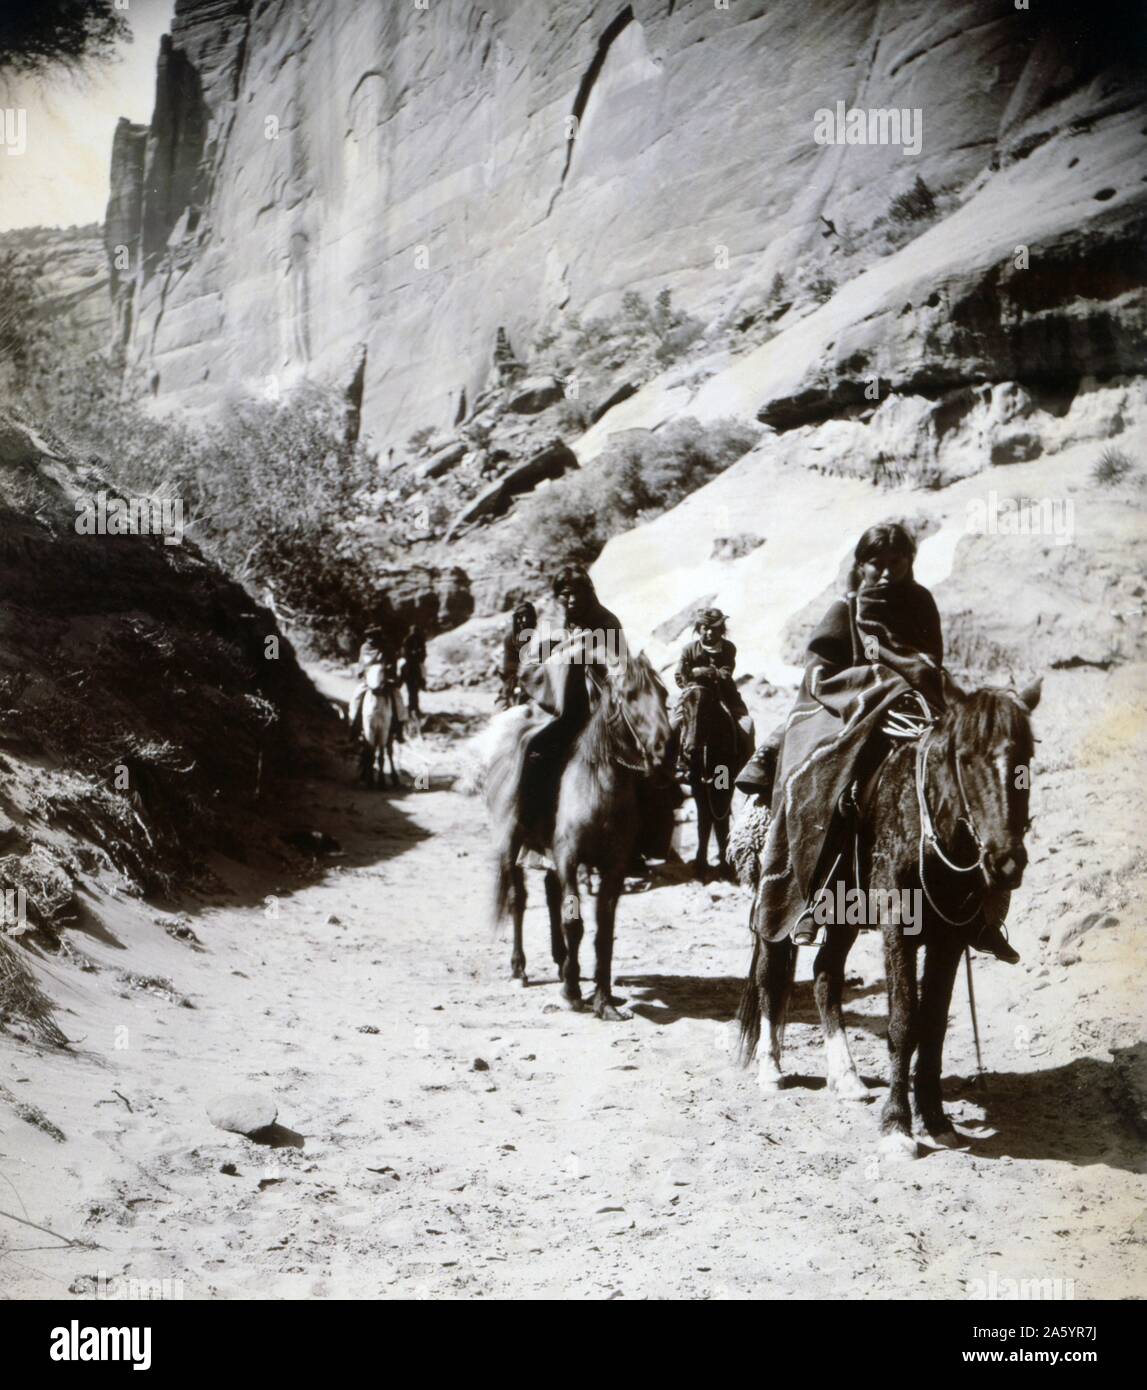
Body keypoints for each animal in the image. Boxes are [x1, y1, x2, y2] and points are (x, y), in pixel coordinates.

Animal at [361, 664, 405, 795]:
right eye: (366, 672)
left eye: (383, 671)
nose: (375, 689)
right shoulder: (369, 730)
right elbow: (370, 754)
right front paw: (369, 781)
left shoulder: (383, 731)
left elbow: (381, 757)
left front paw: (381, 783)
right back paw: (363, 775)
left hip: (388, 735)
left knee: (389, 752)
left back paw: (395, 778)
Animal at [481, 650, 670, 1023]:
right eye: (630, 696)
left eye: (664, 694)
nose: (664, 748)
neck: (599, 788)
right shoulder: (569, 858)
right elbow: (575, 923)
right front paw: (571, 993)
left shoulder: (614, 868)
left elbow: (603, 932)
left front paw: (604, 1000)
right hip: (512, 843)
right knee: (518, 900)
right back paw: (519, 968)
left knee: (551, 893)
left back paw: (561, 960)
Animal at [681, 681, 750, 878]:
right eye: (684, 709)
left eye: (707, 711)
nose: (691, 750)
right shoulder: (697, 786)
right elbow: (703, 823)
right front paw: (700, 865)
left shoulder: (725, 787)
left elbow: (721, 823)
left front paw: (726, 868)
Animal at [734, 678, 1039, 1156]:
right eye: (965, 759)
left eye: (1026, 758)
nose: (1007, 862)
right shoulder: (899, 928)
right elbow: (903, 1021)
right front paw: (897, 1125)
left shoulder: (950, 938)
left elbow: (933, 1023)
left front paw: (935, 1119)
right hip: (777, 898)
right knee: (771, 973)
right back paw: (771, 1068)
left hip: (846, 913)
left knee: (825, 973)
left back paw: (846, 1077)